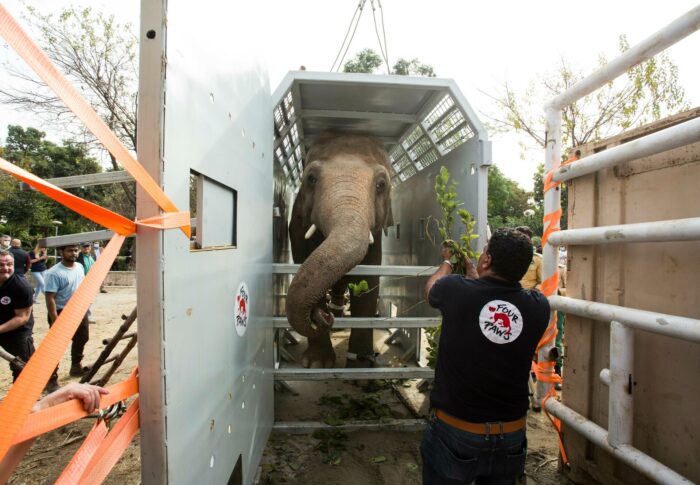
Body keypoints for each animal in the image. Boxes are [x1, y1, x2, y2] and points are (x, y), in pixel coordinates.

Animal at [286, 132, 394, 366]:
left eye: (381, 185)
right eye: (311, 178)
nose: (326, 318)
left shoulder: (376, 238)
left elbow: (368, 284)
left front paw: (361, 366)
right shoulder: (297, 229)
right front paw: (316, 365)